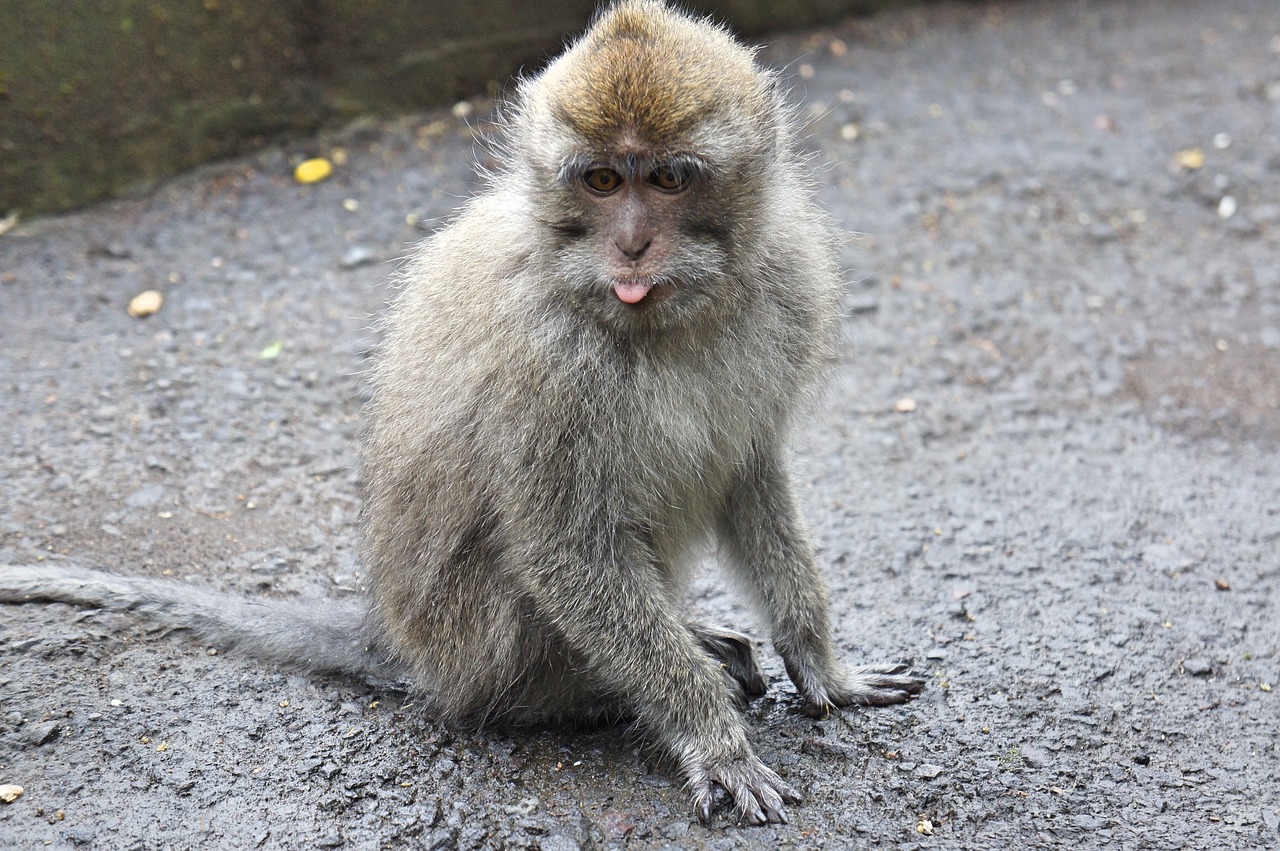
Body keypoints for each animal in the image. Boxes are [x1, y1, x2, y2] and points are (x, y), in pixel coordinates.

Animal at [0, 0, 921, 824]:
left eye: (665, 177)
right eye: (600, 180)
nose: (630, 245)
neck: (659, 317)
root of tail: (405, 645)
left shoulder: (783, 283)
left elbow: (749, 473)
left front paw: (823, 665)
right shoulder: (543, 363)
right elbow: (562, 545)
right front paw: (710, 734)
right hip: (480, 647)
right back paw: (609, 684)